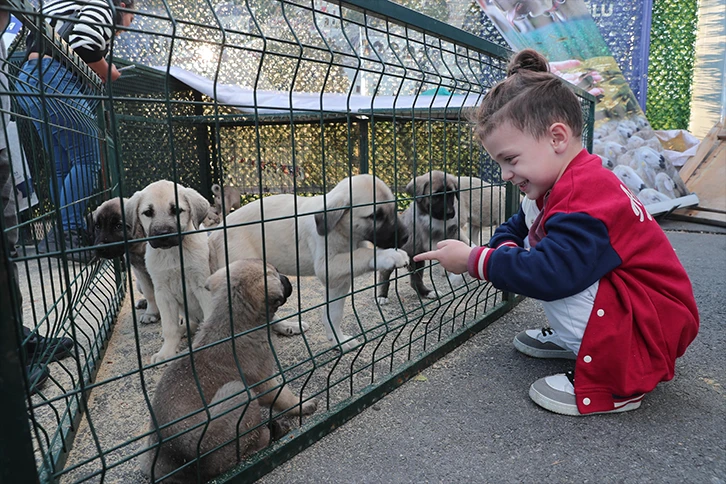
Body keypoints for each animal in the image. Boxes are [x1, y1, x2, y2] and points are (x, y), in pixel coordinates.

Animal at [87, 197, 160, 326]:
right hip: (138, 284)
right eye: (97, 226)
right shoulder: (140, 272)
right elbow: (150, 293)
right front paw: (151, 313)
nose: (100, 248)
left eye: (118, 226)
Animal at [125, 182, 215, 364]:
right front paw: (166, 353)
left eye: (176, 210)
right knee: (191, 323)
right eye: (148, 212)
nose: (163, 235)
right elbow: (169, 328)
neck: (174, 254)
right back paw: (184, 330)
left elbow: (209, 317)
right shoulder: (163, 293)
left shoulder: (202, 286)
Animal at [141, 260, 318, 484]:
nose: (288, 278)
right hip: (239, 392)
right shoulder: (266, 383)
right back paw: (274, 431)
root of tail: (182, 463)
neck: (235, 323)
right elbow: (284, 397)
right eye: (276, 273)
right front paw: (303, 404)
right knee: (251, 445)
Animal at [209, 174, 410, 352]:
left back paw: (288, 326)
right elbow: (363, 253)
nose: (406, 237)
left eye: (394, 209)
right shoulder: (327, 267)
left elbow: (334, 314)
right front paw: (389, 255)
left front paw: (338, 341)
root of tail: (216, 234)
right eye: (375, 216)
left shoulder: (340, 280)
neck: (344, 232)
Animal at [378, 171, 470, 302]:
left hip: (417, 261)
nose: (449, 213)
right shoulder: (430, 238)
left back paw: (427, 292)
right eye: (436, 196)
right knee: (383, 276)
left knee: (415, 281)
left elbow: (464, 241)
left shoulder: (454, 229)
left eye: (451, 194)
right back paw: (382, 296)